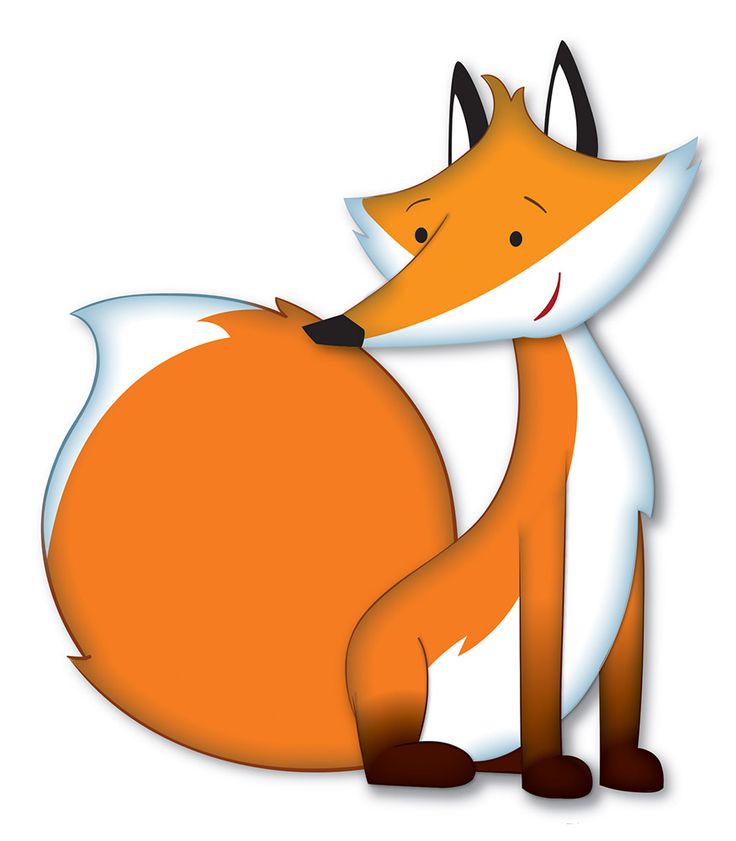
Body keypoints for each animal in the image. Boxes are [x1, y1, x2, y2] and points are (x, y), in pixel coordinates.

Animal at [43, 43, 698, 798]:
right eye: (420, 233)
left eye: (515, 235)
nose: (340, 329)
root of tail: (348, 716)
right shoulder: (541, 558)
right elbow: (540, 687)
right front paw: (553, 776)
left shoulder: (636, 554)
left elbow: (625, 691)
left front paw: (624, 771)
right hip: (401, 672)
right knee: (387, 763)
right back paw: (442, 764)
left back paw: (495, 765)